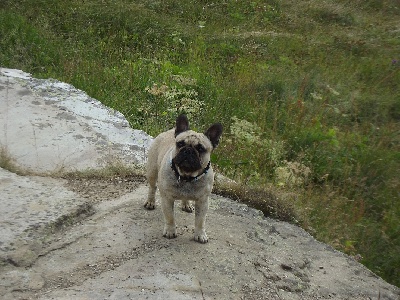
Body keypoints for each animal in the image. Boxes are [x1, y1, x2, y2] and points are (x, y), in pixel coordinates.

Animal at [144, 113, 223, 243]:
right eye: (180, 144)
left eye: (200, 148)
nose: (188, 150)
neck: (187, 177)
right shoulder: (167, 199)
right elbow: (170, 217)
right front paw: (170, 231)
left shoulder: (202, 201)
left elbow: (200, 221)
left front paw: (200, 234)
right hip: (152, 171)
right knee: (152, 187)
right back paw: (150, 202)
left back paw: (186, 204)